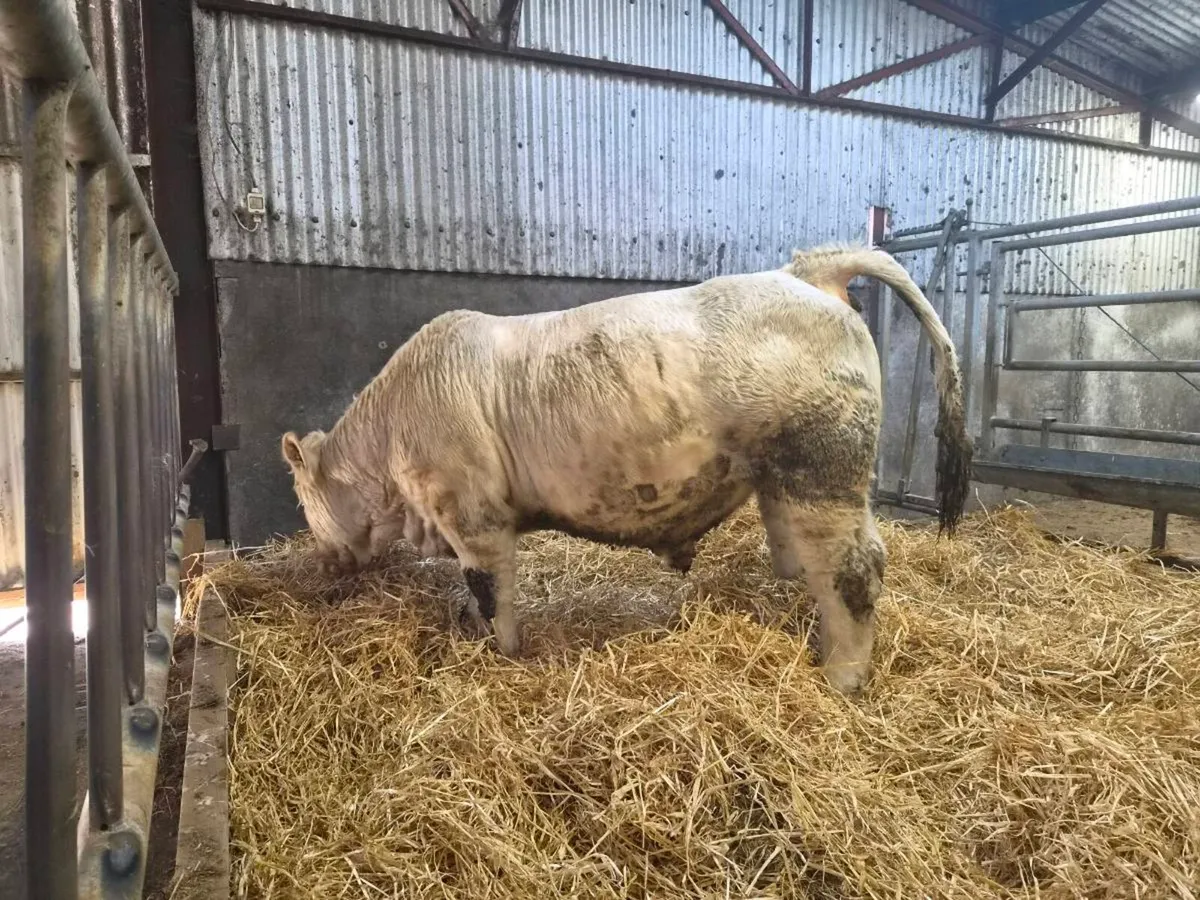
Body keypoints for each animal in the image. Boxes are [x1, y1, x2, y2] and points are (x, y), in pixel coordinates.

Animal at [281, 245, 972, 695]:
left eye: (301, 499)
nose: (324, 563)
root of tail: (803, 274)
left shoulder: (473, 515)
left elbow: (491, 596)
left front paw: (503, 656)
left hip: (823, 465)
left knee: (855, 568)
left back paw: (843, 677)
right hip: (785, 478)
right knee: (809, 563)